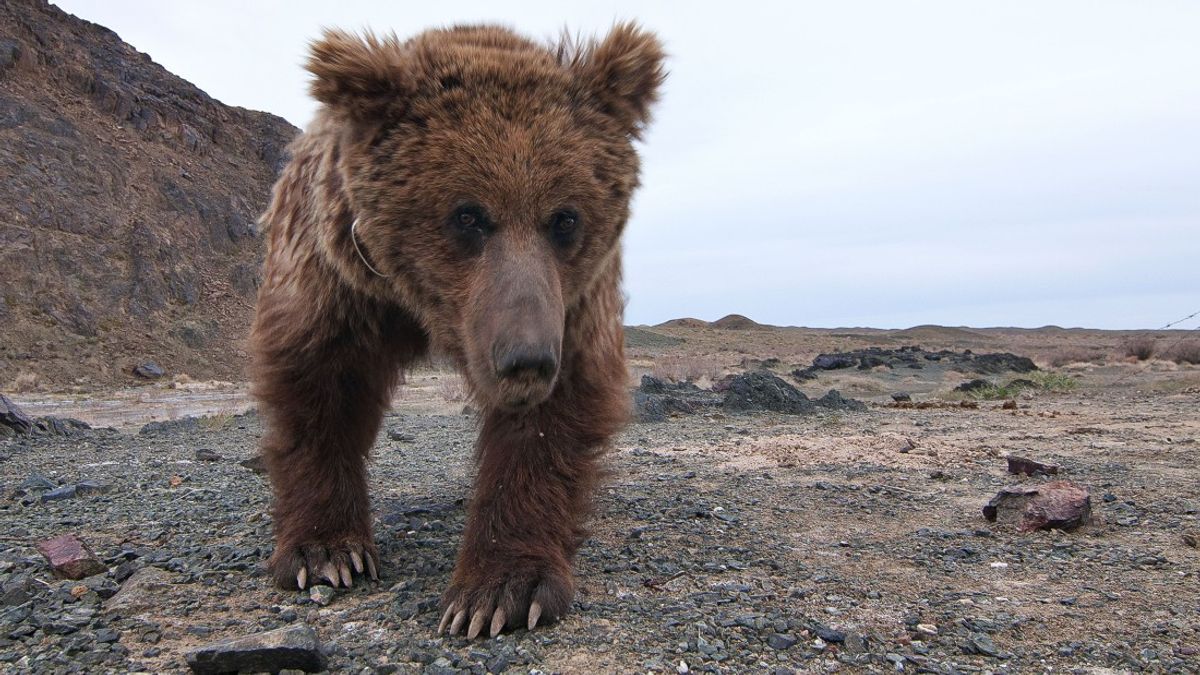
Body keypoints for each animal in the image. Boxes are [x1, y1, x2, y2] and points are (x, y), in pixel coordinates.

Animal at [249, 24, 665, 639]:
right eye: (467, 215)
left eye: (565, 218)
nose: (526, 358)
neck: (417, 303)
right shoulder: (334, 277)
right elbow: (317, 386)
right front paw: (325, 552)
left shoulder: (572, 301)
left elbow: (554, 414)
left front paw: (497, 592)